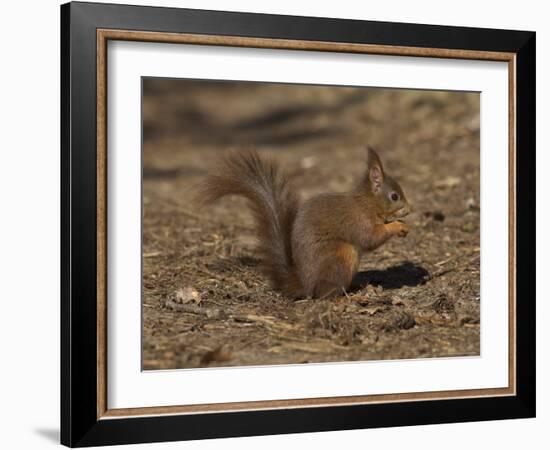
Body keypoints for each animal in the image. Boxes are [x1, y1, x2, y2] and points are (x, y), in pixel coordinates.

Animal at [197, 148, 410, 300]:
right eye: (394, 196)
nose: (409, 210)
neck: (368, 202)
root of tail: (305, 284)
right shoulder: (359, 220)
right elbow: (371, 238)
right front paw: (397, 226)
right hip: (341, 257)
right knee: (324, 295)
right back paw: (347, 297)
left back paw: (359, 286)